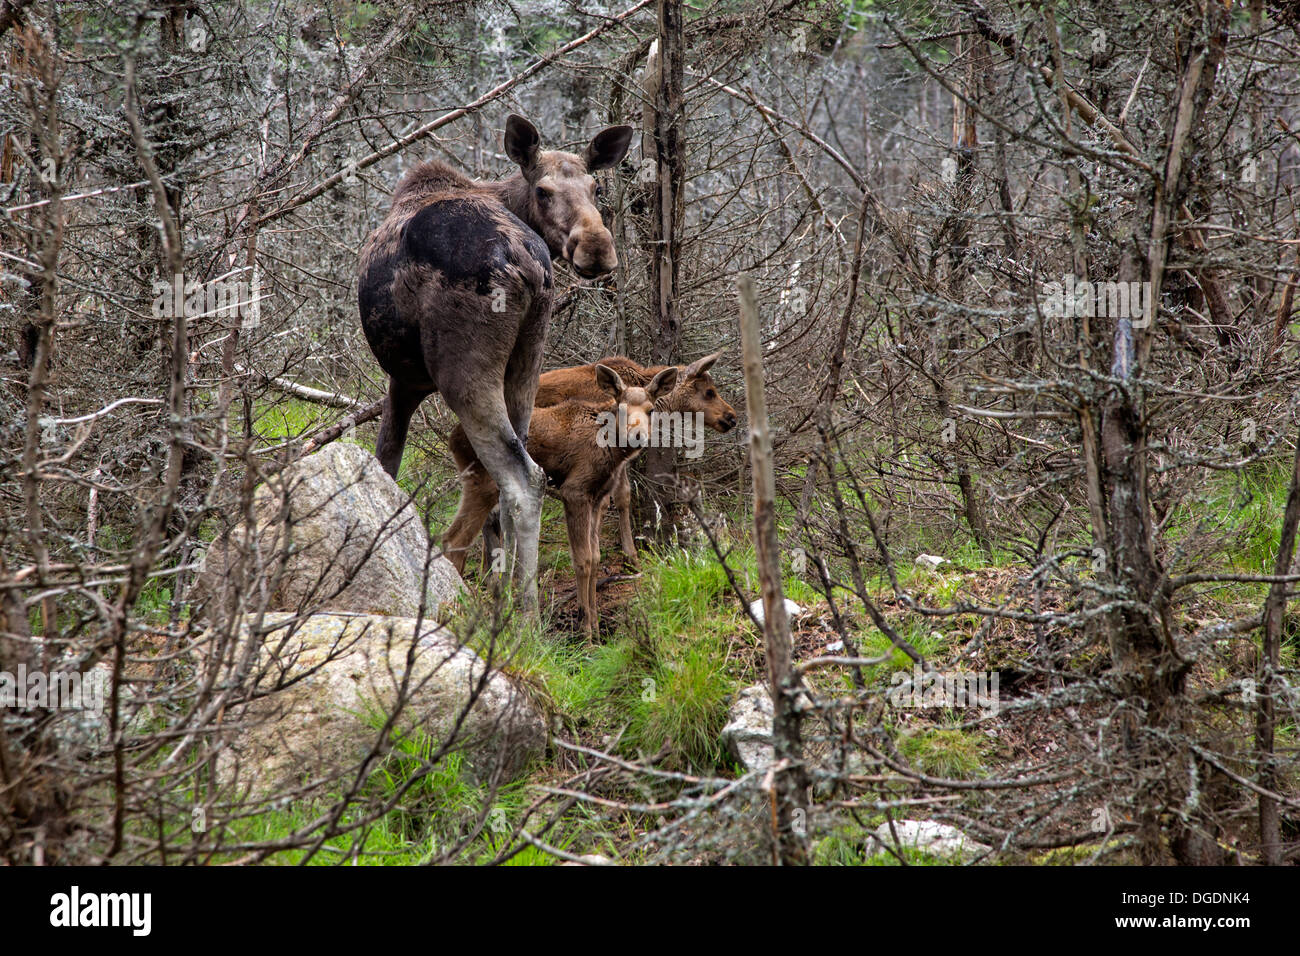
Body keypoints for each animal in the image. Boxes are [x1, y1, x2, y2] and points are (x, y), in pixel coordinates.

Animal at [447, 364, 676, 629]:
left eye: (651, 410)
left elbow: (596, 557)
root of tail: (452, 438)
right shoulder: (575, 491)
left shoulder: (597, 497)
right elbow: (582, 559)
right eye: (621, 408)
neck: (611, 449)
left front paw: (595, 624)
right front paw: (585, 627)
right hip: (483, 485)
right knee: (453, 541)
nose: (637, 435)